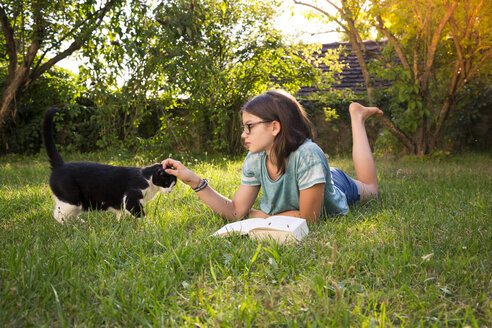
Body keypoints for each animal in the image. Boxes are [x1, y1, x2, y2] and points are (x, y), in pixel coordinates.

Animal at [42, 107, 177, 223]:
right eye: (167, 183)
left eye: (173, 185)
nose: (170, 191)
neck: (148, 179)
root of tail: (60, 165)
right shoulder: (131, 198)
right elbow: (140, 214)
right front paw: (149, 226)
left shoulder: (124, 204)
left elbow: (121, 215)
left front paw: (120, 225)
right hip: (72, 200)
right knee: (58, 215)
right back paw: (70, 226)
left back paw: (80, 223)